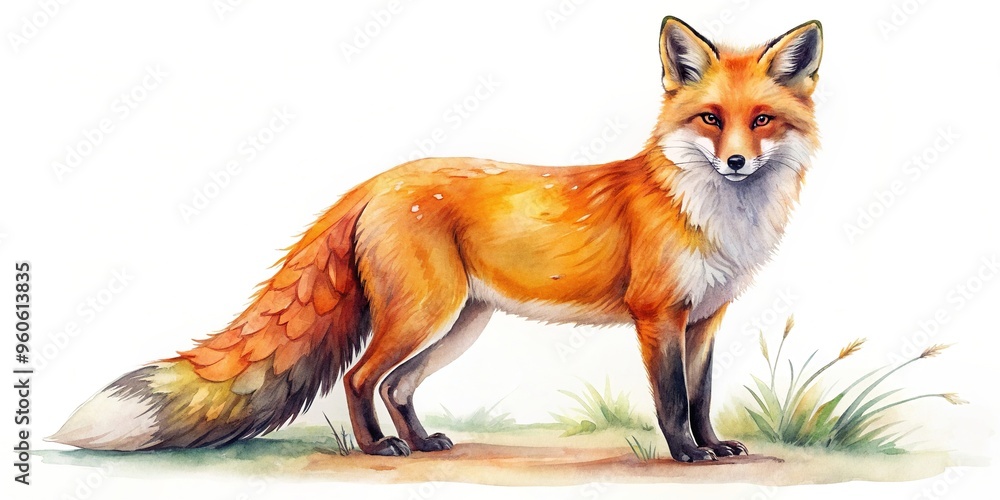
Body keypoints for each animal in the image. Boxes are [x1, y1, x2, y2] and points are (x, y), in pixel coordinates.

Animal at [51, 16, 822, 463]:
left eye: (761, 120)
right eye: (710, 118)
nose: (735, 162)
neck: (718, 216)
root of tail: (378, 179)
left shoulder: (706, 318)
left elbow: (701, 395)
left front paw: (714, 446)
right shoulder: (656, 314)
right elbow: (669, 400)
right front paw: (686, 455)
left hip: (457, 325)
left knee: (396, 384)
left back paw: (423, 442)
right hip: (424, 315)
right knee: (361, 377)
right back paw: (379, 448)